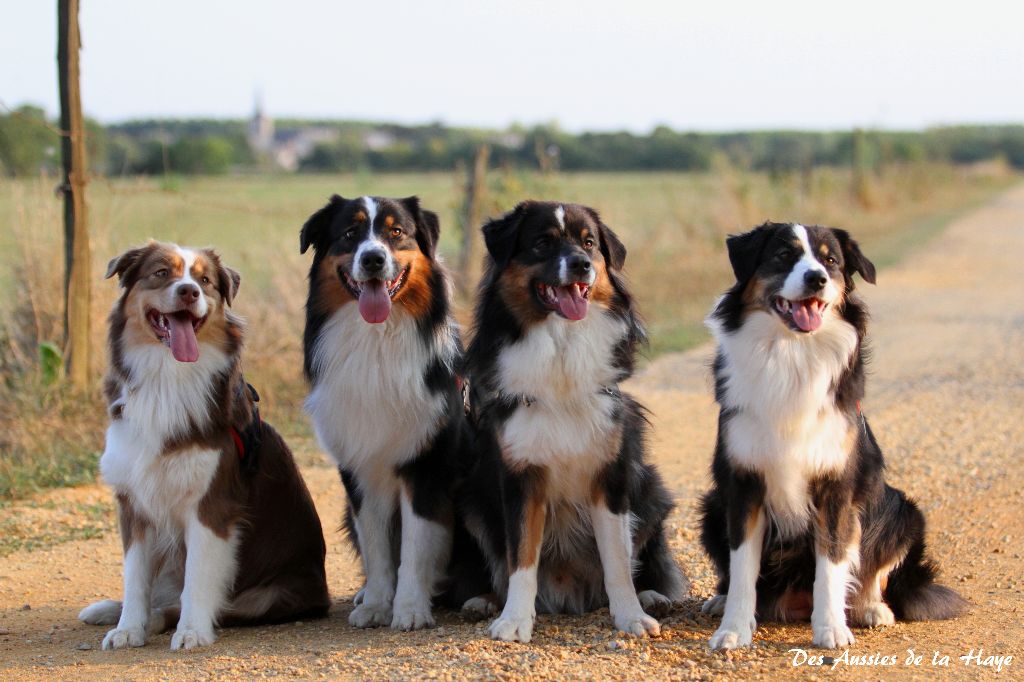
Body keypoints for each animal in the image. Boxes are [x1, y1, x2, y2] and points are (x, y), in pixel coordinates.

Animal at [299, 193, 483, 630]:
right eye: (350, 233)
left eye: (396, 232)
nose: (373, 259)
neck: (377, 341)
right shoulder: (361, 469)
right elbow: (377, 546)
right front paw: (377, 605)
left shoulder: (424, 464)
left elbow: (415, 547)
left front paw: (410, 609)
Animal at [460, 199, 684, 638]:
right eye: (543, 242)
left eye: (589, 243)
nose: (581, 265)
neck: (560, 342)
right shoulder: (520, 475)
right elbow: (521, 557)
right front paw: (514, 620)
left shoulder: (610, 475)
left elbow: (617, 559)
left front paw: (630, 616)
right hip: (475, 505)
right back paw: (483, 601)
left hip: (651, 490)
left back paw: (652, 597)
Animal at [700, 222, 962, 647]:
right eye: (784, 255)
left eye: (831, 261)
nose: (816, 279)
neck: (792, 353)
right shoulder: (742, 482)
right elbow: (741, 568)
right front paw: (734, 629)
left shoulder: (836, 485)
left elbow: (833, 562)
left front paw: (831, 629)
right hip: (711, 505)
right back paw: (720, 601)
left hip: (902, 508)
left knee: (872, 569)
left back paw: (871, 608)